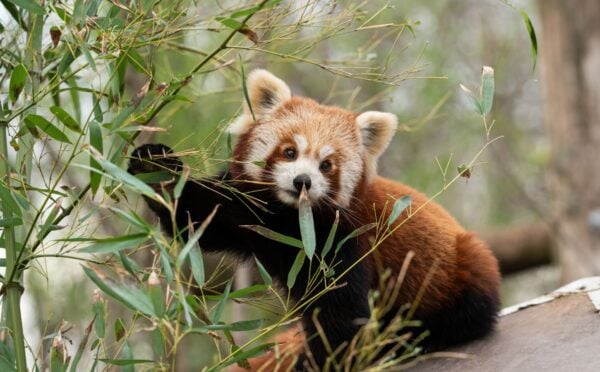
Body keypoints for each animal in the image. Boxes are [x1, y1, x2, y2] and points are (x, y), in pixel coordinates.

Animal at [129, 69, 500, 370]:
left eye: (327, 165)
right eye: (290, 152)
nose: (302, 181)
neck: (288, 221)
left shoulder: (344, 242)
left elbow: (340, 316)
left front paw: (315, 363)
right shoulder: (246, 210)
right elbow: (197, 216)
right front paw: (156, 167)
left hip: (467, 268)